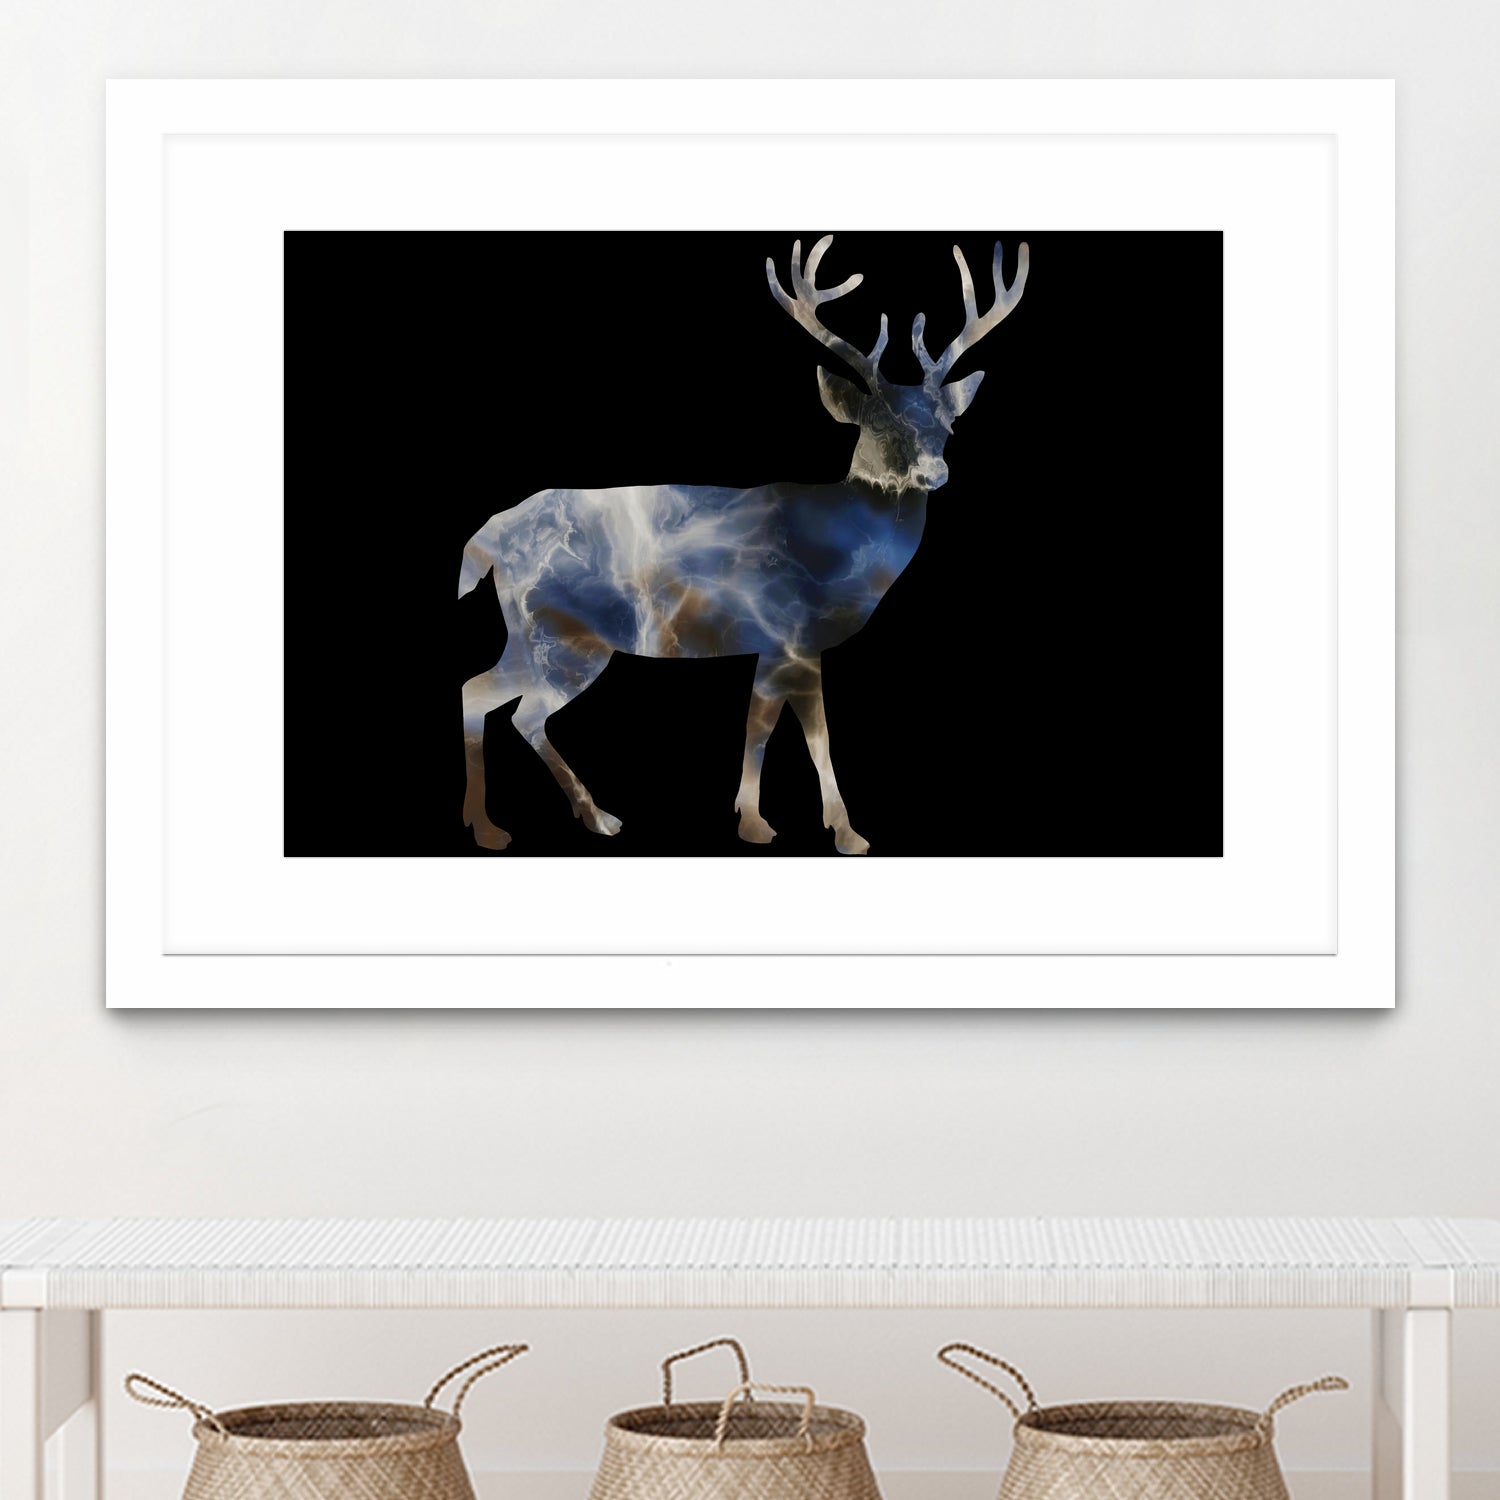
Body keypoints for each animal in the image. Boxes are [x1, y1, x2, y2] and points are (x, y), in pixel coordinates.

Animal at [458, 234, 1029, 854]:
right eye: (878, 423)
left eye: (948, 425)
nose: (935, 472)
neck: (839, 551)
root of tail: (491, 536)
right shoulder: (792, 634)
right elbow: (804, 735)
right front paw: (833, 830)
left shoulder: (775, 645)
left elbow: (763, 727)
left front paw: (760, 819)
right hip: (564, 636)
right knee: (516, 709)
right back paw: (557, 820)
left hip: (530, 633)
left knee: (483, 693)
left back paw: (524, 820)